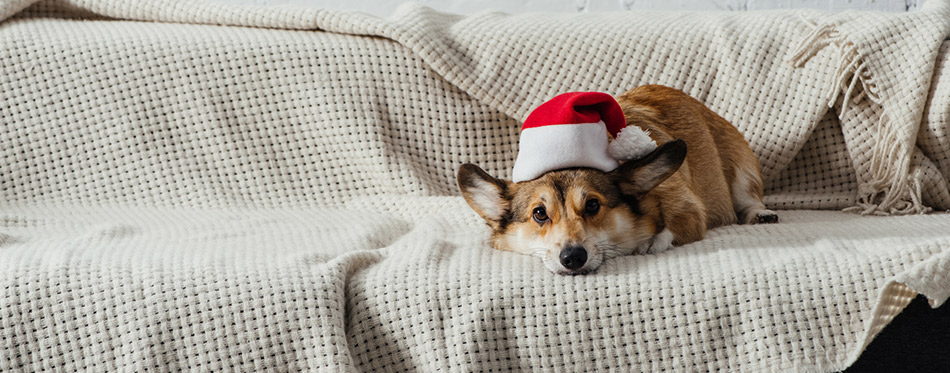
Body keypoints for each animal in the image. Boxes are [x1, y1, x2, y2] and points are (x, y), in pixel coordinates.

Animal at [462, 85, 780, 274]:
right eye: (539, 214)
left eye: (592, 205)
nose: (573, 258)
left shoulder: (690, 209)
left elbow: (675, 225)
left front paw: (651, 241)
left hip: (741, 164)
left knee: (748, 196)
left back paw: (760, 213)